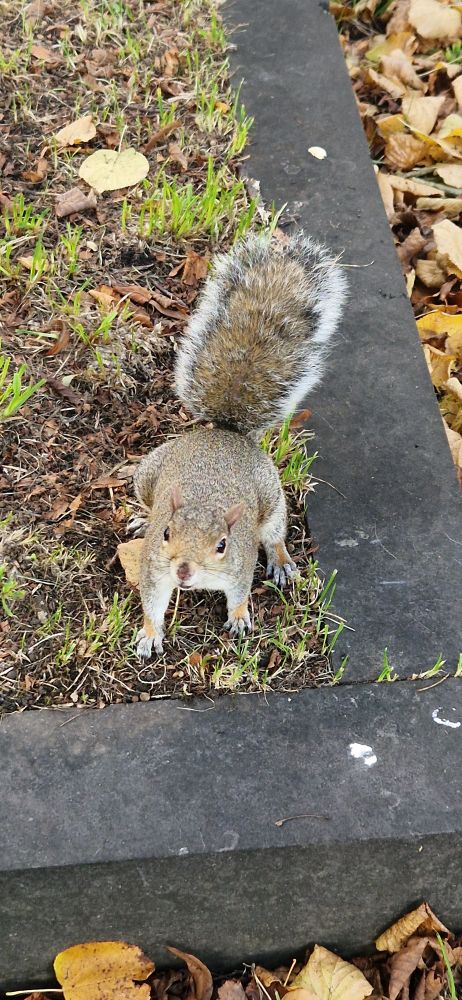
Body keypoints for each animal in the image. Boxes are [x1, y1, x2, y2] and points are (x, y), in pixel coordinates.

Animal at [132, 232, 347, 658]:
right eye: (165, 534)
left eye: (222, 545)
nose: (184, 571)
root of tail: (226, 432)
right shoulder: (154, 567)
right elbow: (152, 601)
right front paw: (150, 634)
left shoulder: (239, 565)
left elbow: (240, 593)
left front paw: (239, 618)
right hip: (148, 471)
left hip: (273, 496)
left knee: (276, 534)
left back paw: (281, 561)